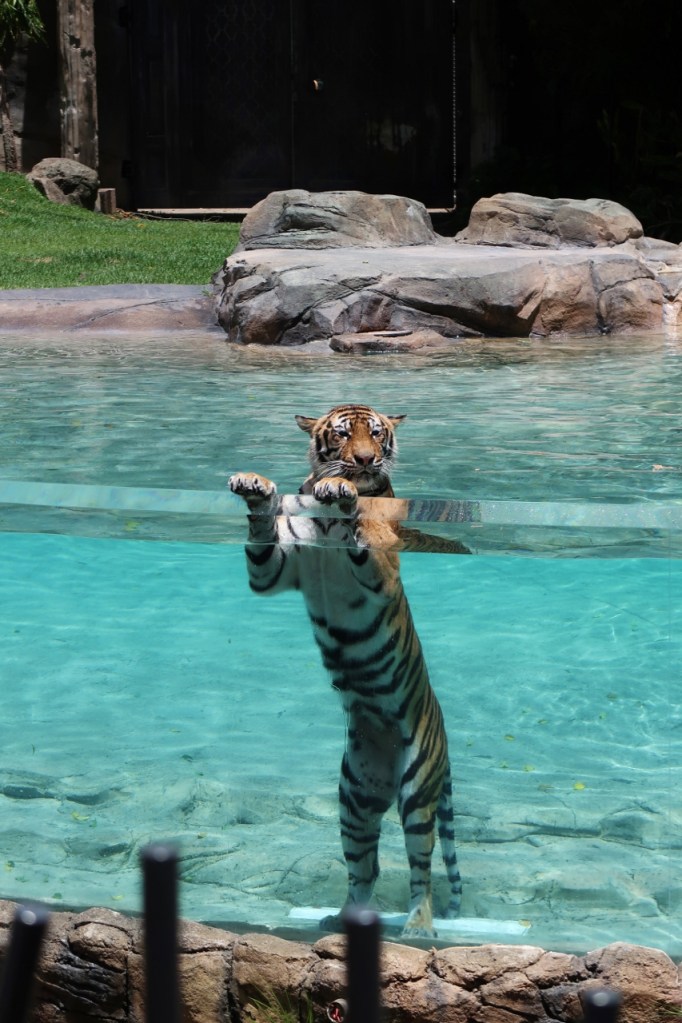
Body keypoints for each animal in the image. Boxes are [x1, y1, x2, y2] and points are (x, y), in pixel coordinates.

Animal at [229, 403, 465, 937]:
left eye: (376, 435)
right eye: (342, 434)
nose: (363, 460)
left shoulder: (382, 571)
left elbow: (364, 531)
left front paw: (342, 492)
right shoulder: (274, 569)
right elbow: (262, 532)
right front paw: (255, 484)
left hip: (417, 789)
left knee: (421, 869)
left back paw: (419, 925)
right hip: (353, 796)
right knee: (365, 869)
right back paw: (342, 920)